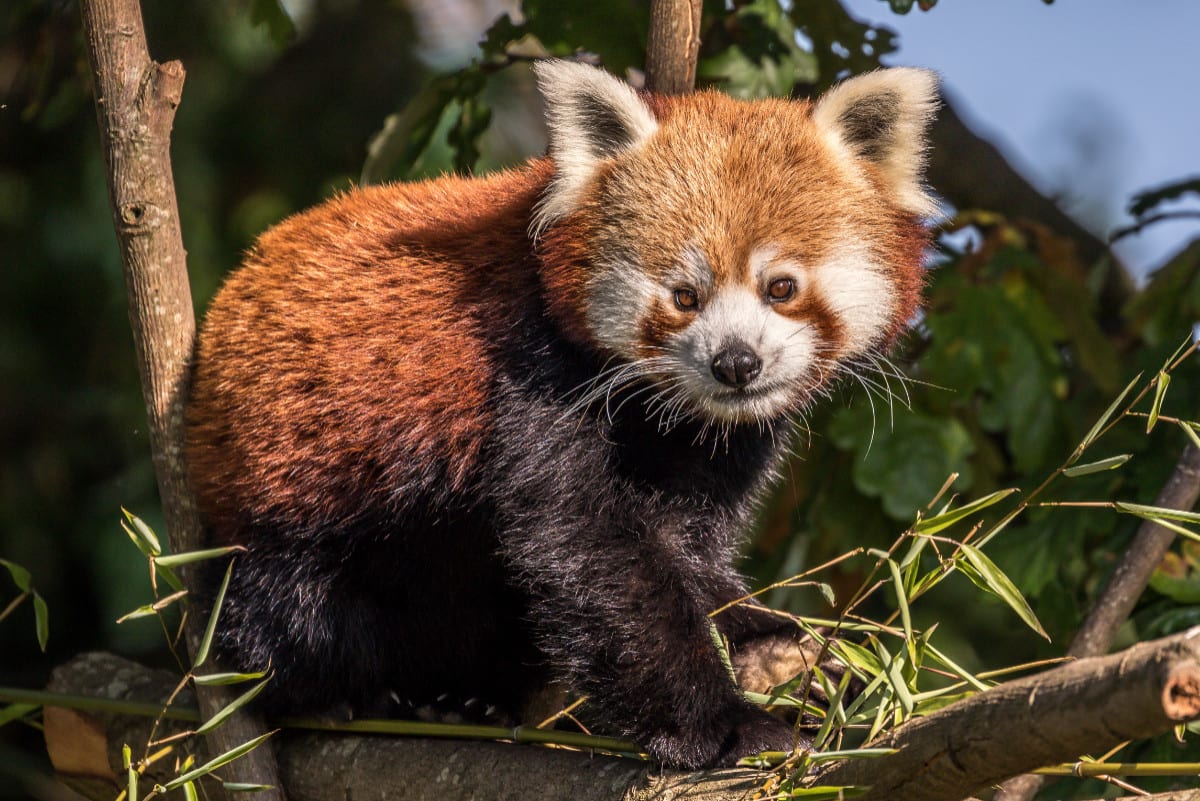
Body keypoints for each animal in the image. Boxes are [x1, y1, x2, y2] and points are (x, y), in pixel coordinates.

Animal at [187, 59, 936, 767]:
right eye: (684, 296)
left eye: (780, 287)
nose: (736, 363)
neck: (665, 414)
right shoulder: (533, 370)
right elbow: (583, 543)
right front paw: (725, 724)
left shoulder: (713, 443)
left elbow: (686, 551)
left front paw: (775, 652)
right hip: (283, 495)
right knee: (291, 611)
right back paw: (356, 694)